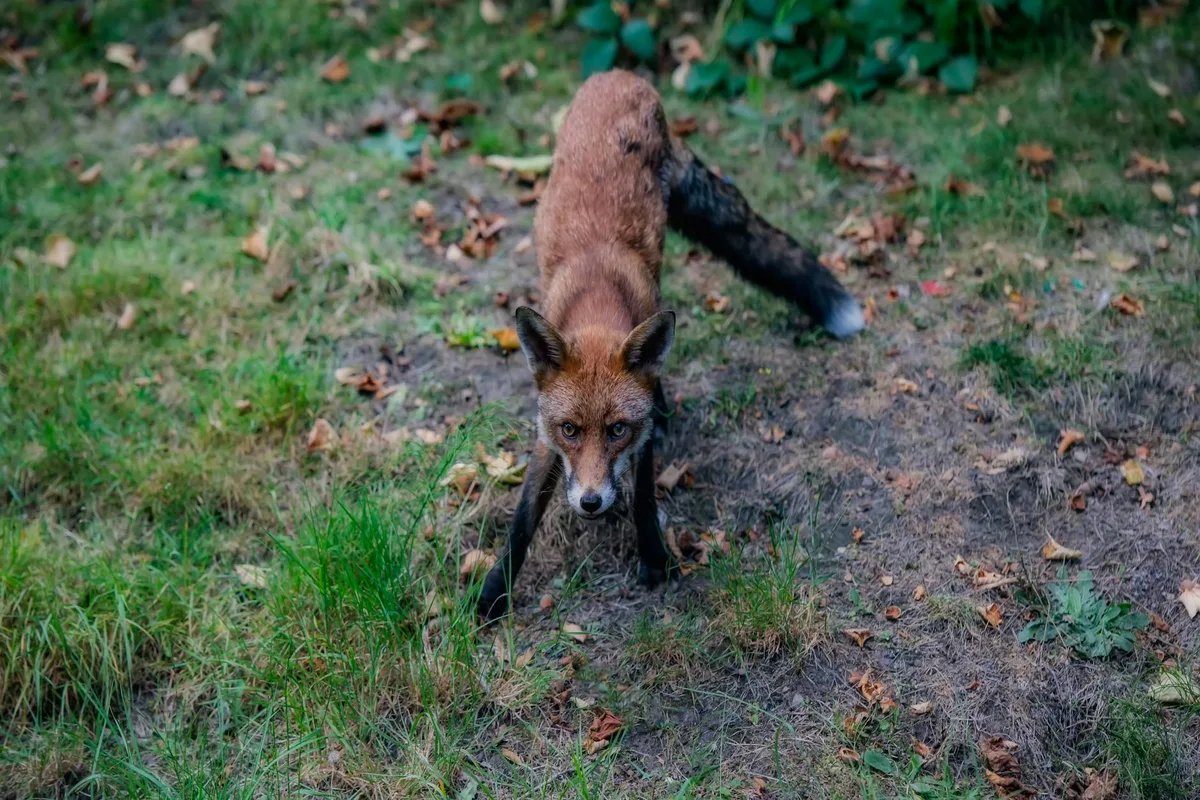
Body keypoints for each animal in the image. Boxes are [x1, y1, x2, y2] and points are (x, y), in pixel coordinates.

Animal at [477, 70, 863, 621]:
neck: (597, 299)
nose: (591, 503)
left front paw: (654, 559)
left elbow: (641, 493)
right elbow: (523, 516)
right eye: (571, 429)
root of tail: (623, 75)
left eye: (617, 429)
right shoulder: (546, 438)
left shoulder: (637, 438)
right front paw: (494, 591)